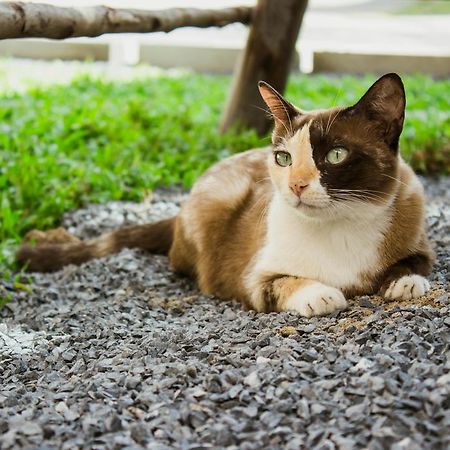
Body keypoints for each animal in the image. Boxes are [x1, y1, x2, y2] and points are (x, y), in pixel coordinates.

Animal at [15, 73, 434, 316]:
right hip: (218, 201)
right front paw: (320, 294)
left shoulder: (415, 221)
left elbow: (414, 264)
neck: (341, 226)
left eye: (335, 155)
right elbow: (283, 283)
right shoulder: (254, 277)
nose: (296, 185)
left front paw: (404, 283)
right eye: (283, 158)